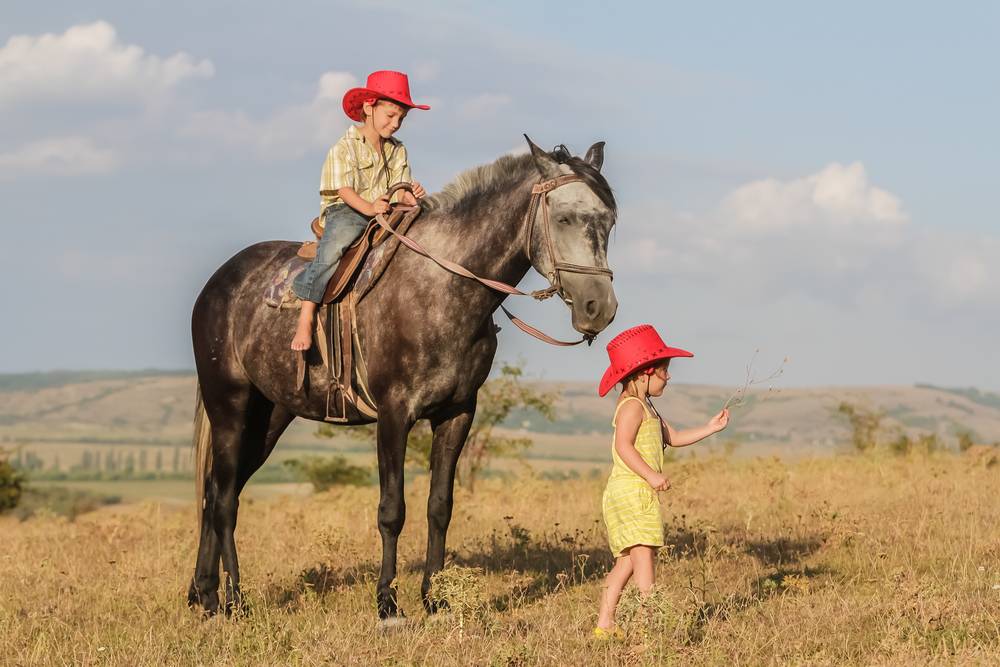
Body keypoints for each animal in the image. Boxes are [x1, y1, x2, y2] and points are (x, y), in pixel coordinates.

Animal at [188, 137, 616, 620]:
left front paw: (435, 597)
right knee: (224, 500)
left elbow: (439, 506)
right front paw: (388, 603)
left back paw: (205, 594)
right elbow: (392, 510)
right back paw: (233, 600)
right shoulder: (394, 414)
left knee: (216, 492)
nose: (599, 308)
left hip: (269, 416)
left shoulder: (458, 413)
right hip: (230, 407)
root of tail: (217, 284)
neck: (441, 287)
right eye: (564, 218)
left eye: (609, 221)